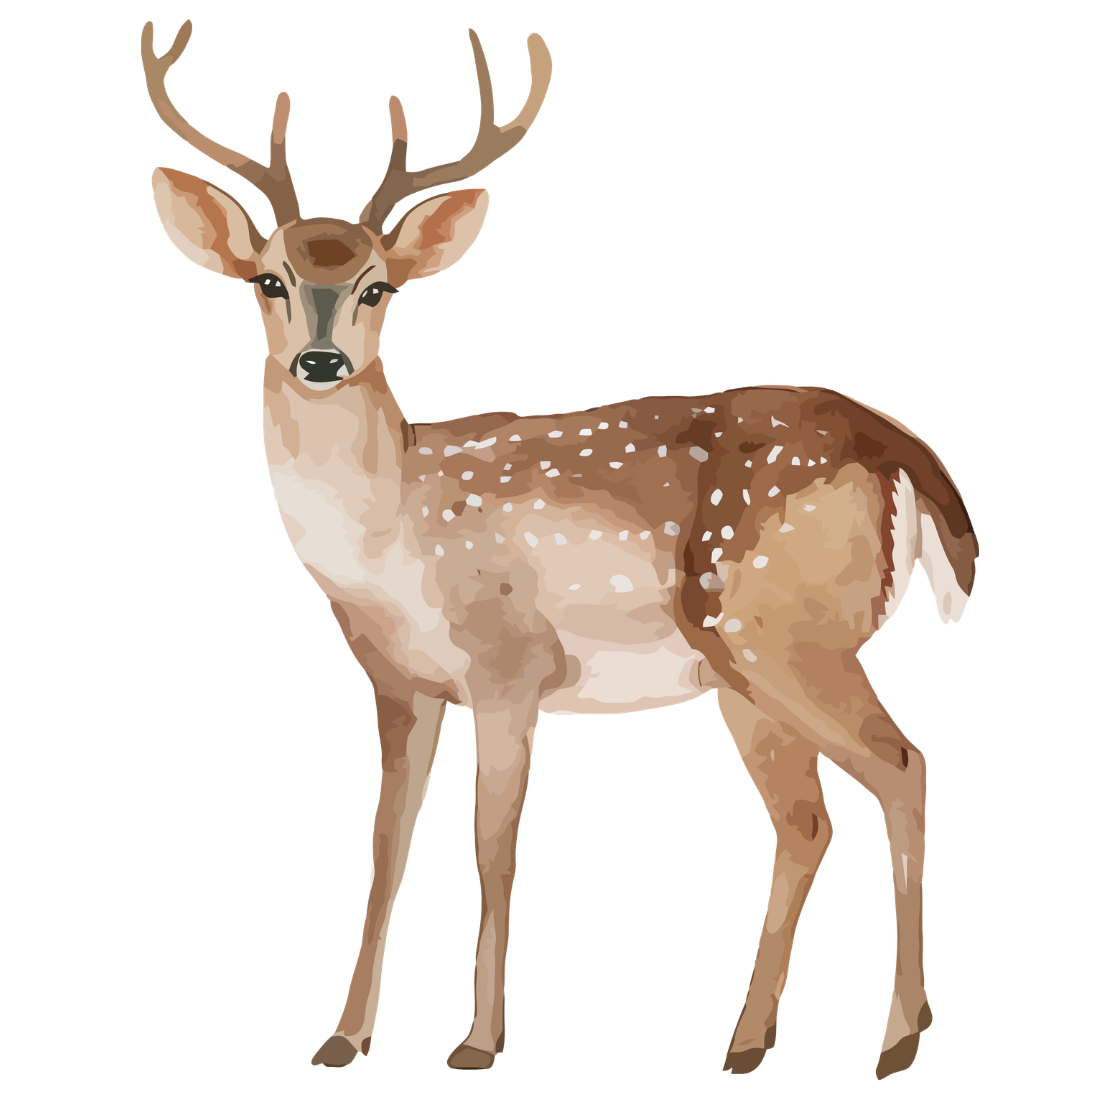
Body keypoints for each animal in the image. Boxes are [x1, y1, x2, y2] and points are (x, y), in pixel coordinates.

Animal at [141, 19, 976, 1078]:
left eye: (376, 288)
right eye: (269, 279)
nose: (319, 361)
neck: (394, 541)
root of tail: (900, 448)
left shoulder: (511, 666)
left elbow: (491, 847)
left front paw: (476, 1044)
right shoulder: (398, 682)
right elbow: (386, 843)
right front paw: (342, 1037)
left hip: (784, 635)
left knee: (902, 768)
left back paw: (898, 1037)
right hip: (744, 676)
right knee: (805, 821)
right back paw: (747, 1044)